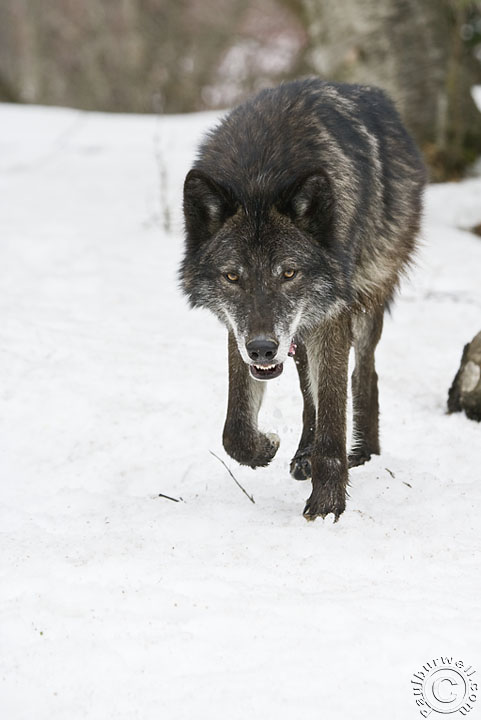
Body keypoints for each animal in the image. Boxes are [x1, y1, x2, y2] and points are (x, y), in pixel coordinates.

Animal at [180, 77, 426, 520]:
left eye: (289, 273)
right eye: (232, 276)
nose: (262, 349)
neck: (260, 177)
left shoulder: (332, 315)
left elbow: (332, 415)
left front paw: (327, 506)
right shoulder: (240, 329)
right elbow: (234, 427)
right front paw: (265, 447)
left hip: (364, 300)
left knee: (364, 374)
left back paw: (364, 452)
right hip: (298, 333)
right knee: (308, 390)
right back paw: (302, 455)